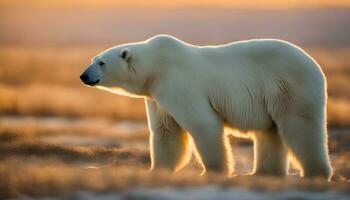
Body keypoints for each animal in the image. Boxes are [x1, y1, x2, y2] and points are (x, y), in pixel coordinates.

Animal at [80, 34, 332, 180]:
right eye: (93, 59)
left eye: (101, 62)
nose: (84, 76)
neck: (155, 68)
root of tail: (315, 65)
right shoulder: (156, 97)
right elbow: (165, 131)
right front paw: (157, 169)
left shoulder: (178, 83)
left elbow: (203, 125)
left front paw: (213, 170)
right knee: (270, 132)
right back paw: (262, 173)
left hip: (290, 87)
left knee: (300, 127)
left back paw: (315, 173)